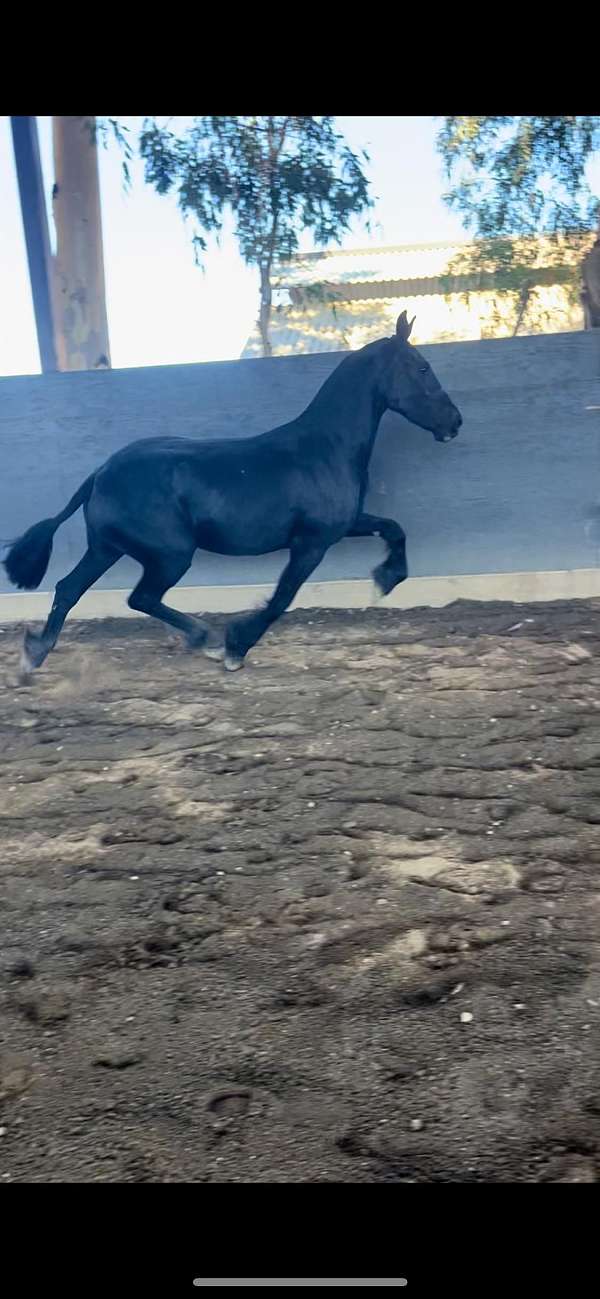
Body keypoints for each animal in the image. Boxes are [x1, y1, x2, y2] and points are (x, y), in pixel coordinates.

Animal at [4, 311, 462, 679]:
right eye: (422, 368)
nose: (455, 421)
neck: (325, 448)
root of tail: (100, 473)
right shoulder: (312, 541)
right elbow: (282, 598)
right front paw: (236, 647)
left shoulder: (345, 525)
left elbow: (394, 528)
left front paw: (387, 578)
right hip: (171, 554)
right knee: (139, 596)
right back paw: (202, 638)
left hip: (107, 549)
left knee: (68, 588)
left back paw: (34, 655)